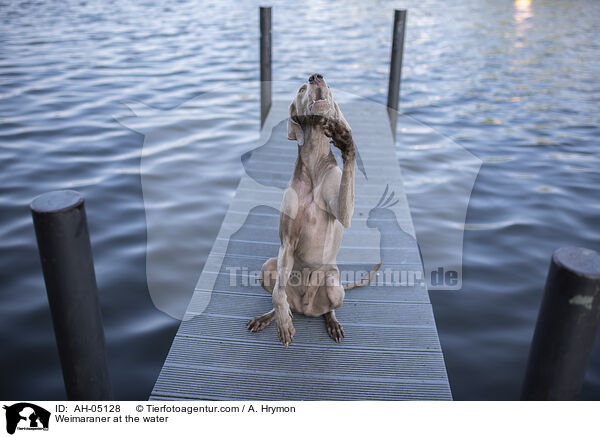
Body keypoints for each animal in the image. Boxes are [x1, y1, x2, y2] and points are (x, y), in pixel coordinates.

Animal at [245, 75, 378, 348]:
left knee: (329, 308)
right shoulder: (286, 242)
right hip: (268, 267)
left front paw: (345, 142)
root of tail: (306, 308)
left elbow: (347, 175)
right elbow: (278, 295)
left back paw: (332, 322)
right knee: (285, 300)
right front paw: (283, 323)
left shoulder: (344, 211)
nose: (316, 76)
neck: (315, 160)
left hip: (333, 283)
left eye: (328, 84)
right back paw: (272, 317)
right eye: (301, 89)